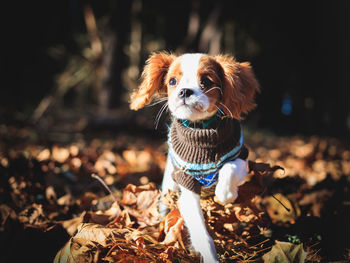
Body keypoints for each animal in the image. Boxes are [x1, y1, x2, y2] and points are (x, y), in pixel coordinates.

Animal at [130, 52, 258, 262]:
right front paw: (211, 257)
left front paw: (226, 194)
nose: (184, 91)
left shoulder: (241, 156)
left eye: (206, 81)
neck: (201, 131)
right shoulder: (186, 184)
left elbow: (229, 167)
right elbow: (201, 233)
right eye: (172, 81)